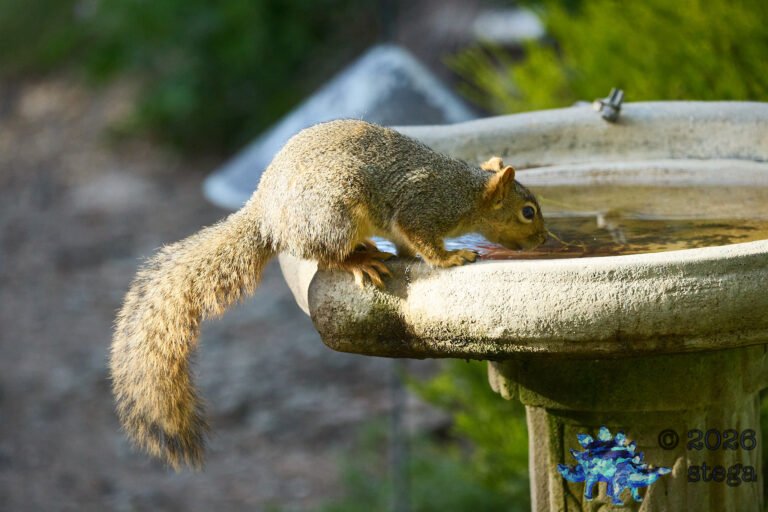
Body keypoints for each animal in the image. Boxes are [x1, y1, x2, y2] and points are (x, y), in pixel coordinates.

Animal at [110, 119, 546, 470]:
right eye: (528, 212)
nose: (545, 241)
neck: (466, 191)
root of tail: (269, 216)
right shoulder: (422, 208)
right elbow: (424, 242)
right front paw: (453, 257)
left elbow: (406, 245)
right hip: (336, 211)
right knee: (325, 254)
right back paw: (359, 260)